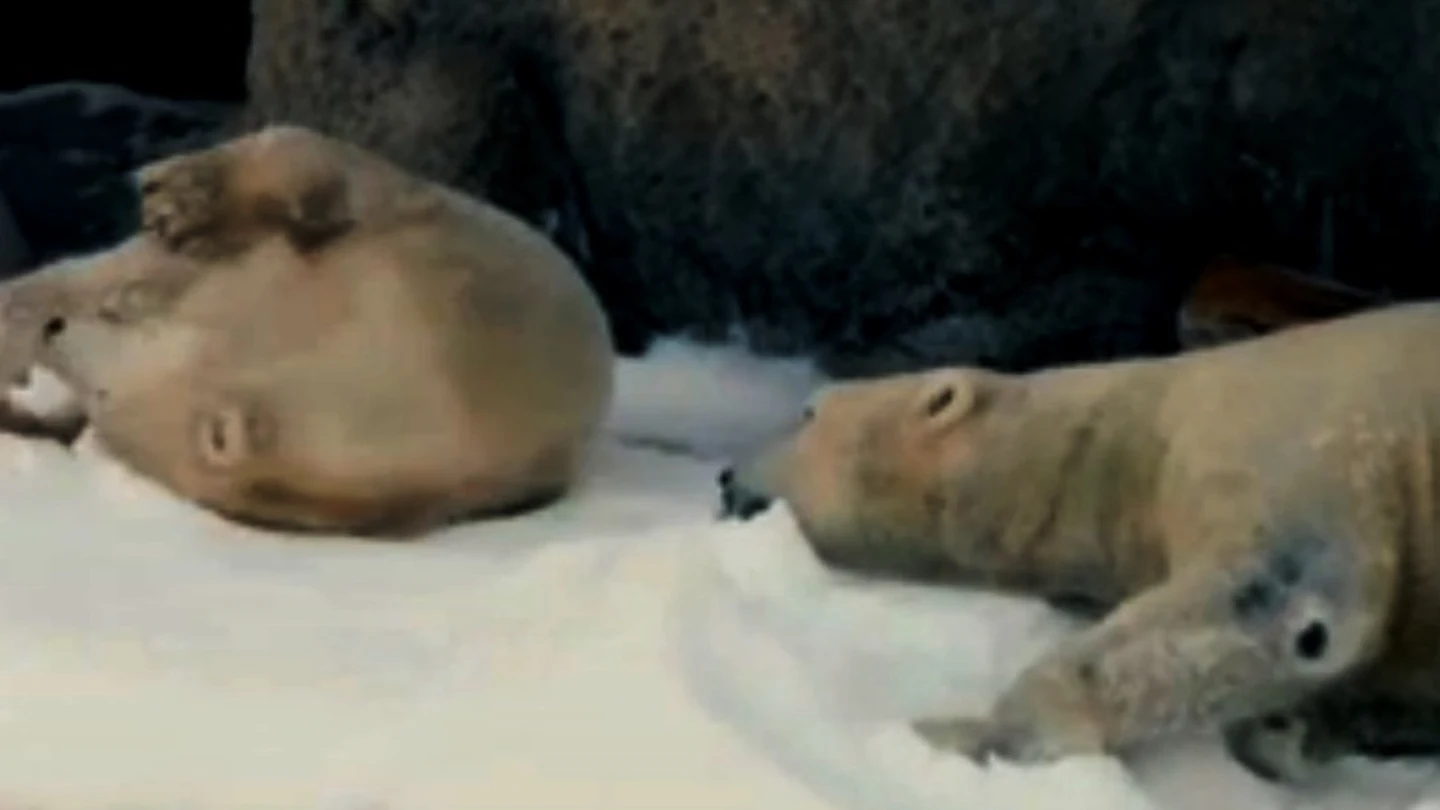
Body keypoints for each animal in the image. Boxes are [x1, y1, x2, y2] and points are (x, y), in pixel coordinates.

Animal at [717, 300, 1440, 784]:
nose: (724, 478)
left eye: (808, 411)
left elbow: (1272, 598)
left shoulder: (1289, 432)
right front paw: (1296, 730)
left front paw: (964, 731)